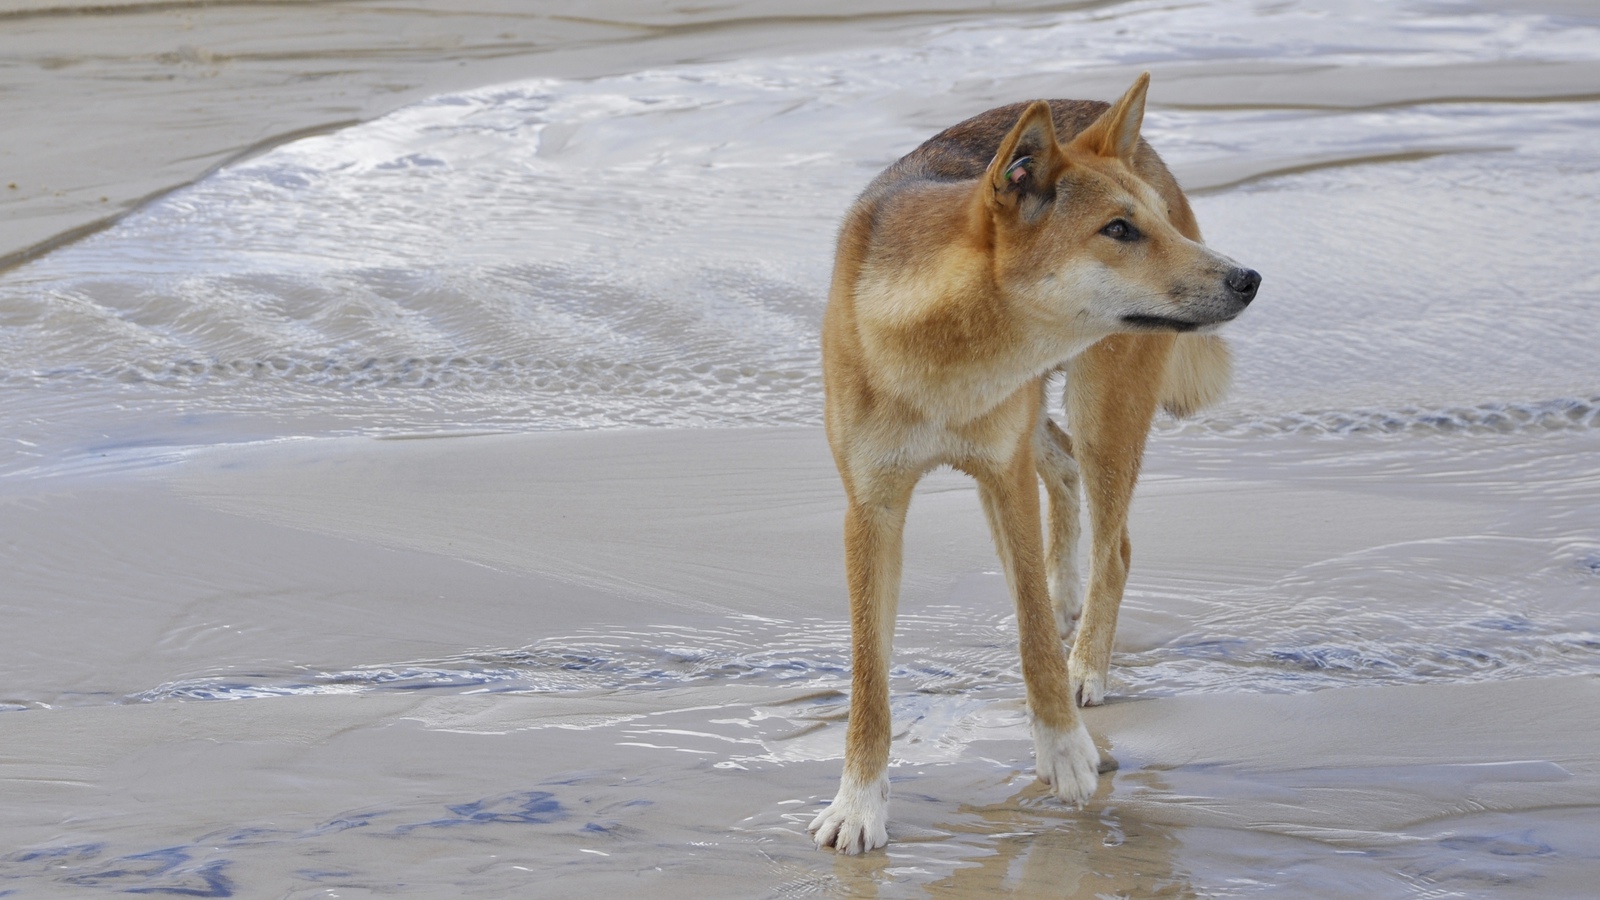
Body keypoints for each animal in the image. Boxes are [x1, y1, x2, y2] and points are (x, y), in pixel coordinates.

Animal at [806, 73, 1254, 851]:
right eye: (1117, 230)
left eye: (1152, 223)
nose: (1248, 278)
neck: (945, 353)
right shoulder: (871, 508)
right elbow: (869, 677)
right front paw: (859, 806)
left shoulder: (1003, 480)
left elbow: (1034, 637)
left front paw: (1065, 751)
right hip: (1051, 418)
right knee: (1067, 472)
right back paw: (1069, 595)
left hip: (1104, 407)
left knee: (1115, 546)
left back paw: (1087, 665)